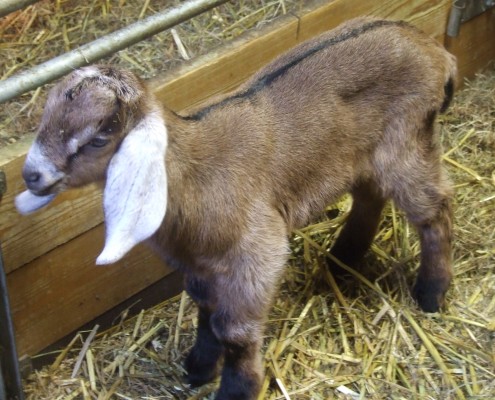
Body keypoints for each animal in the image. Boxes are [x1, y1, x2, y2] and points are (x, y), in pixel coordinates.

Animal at [16, 18, 458, 400]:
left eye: (100, 135)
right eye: (45, 115)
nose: (31, 175)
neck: (191, 174)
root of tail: (432, 48)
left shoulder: (257, 254)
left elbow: (234, 331)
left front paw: (236, 390)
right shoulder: (199, 264)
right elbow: (205, 310)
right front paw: (197, 367)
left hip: (405, 142)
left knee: (434, 209)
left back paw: (431, 293)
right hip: (364, 156)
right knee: (370, 197)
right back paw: (341, 261)